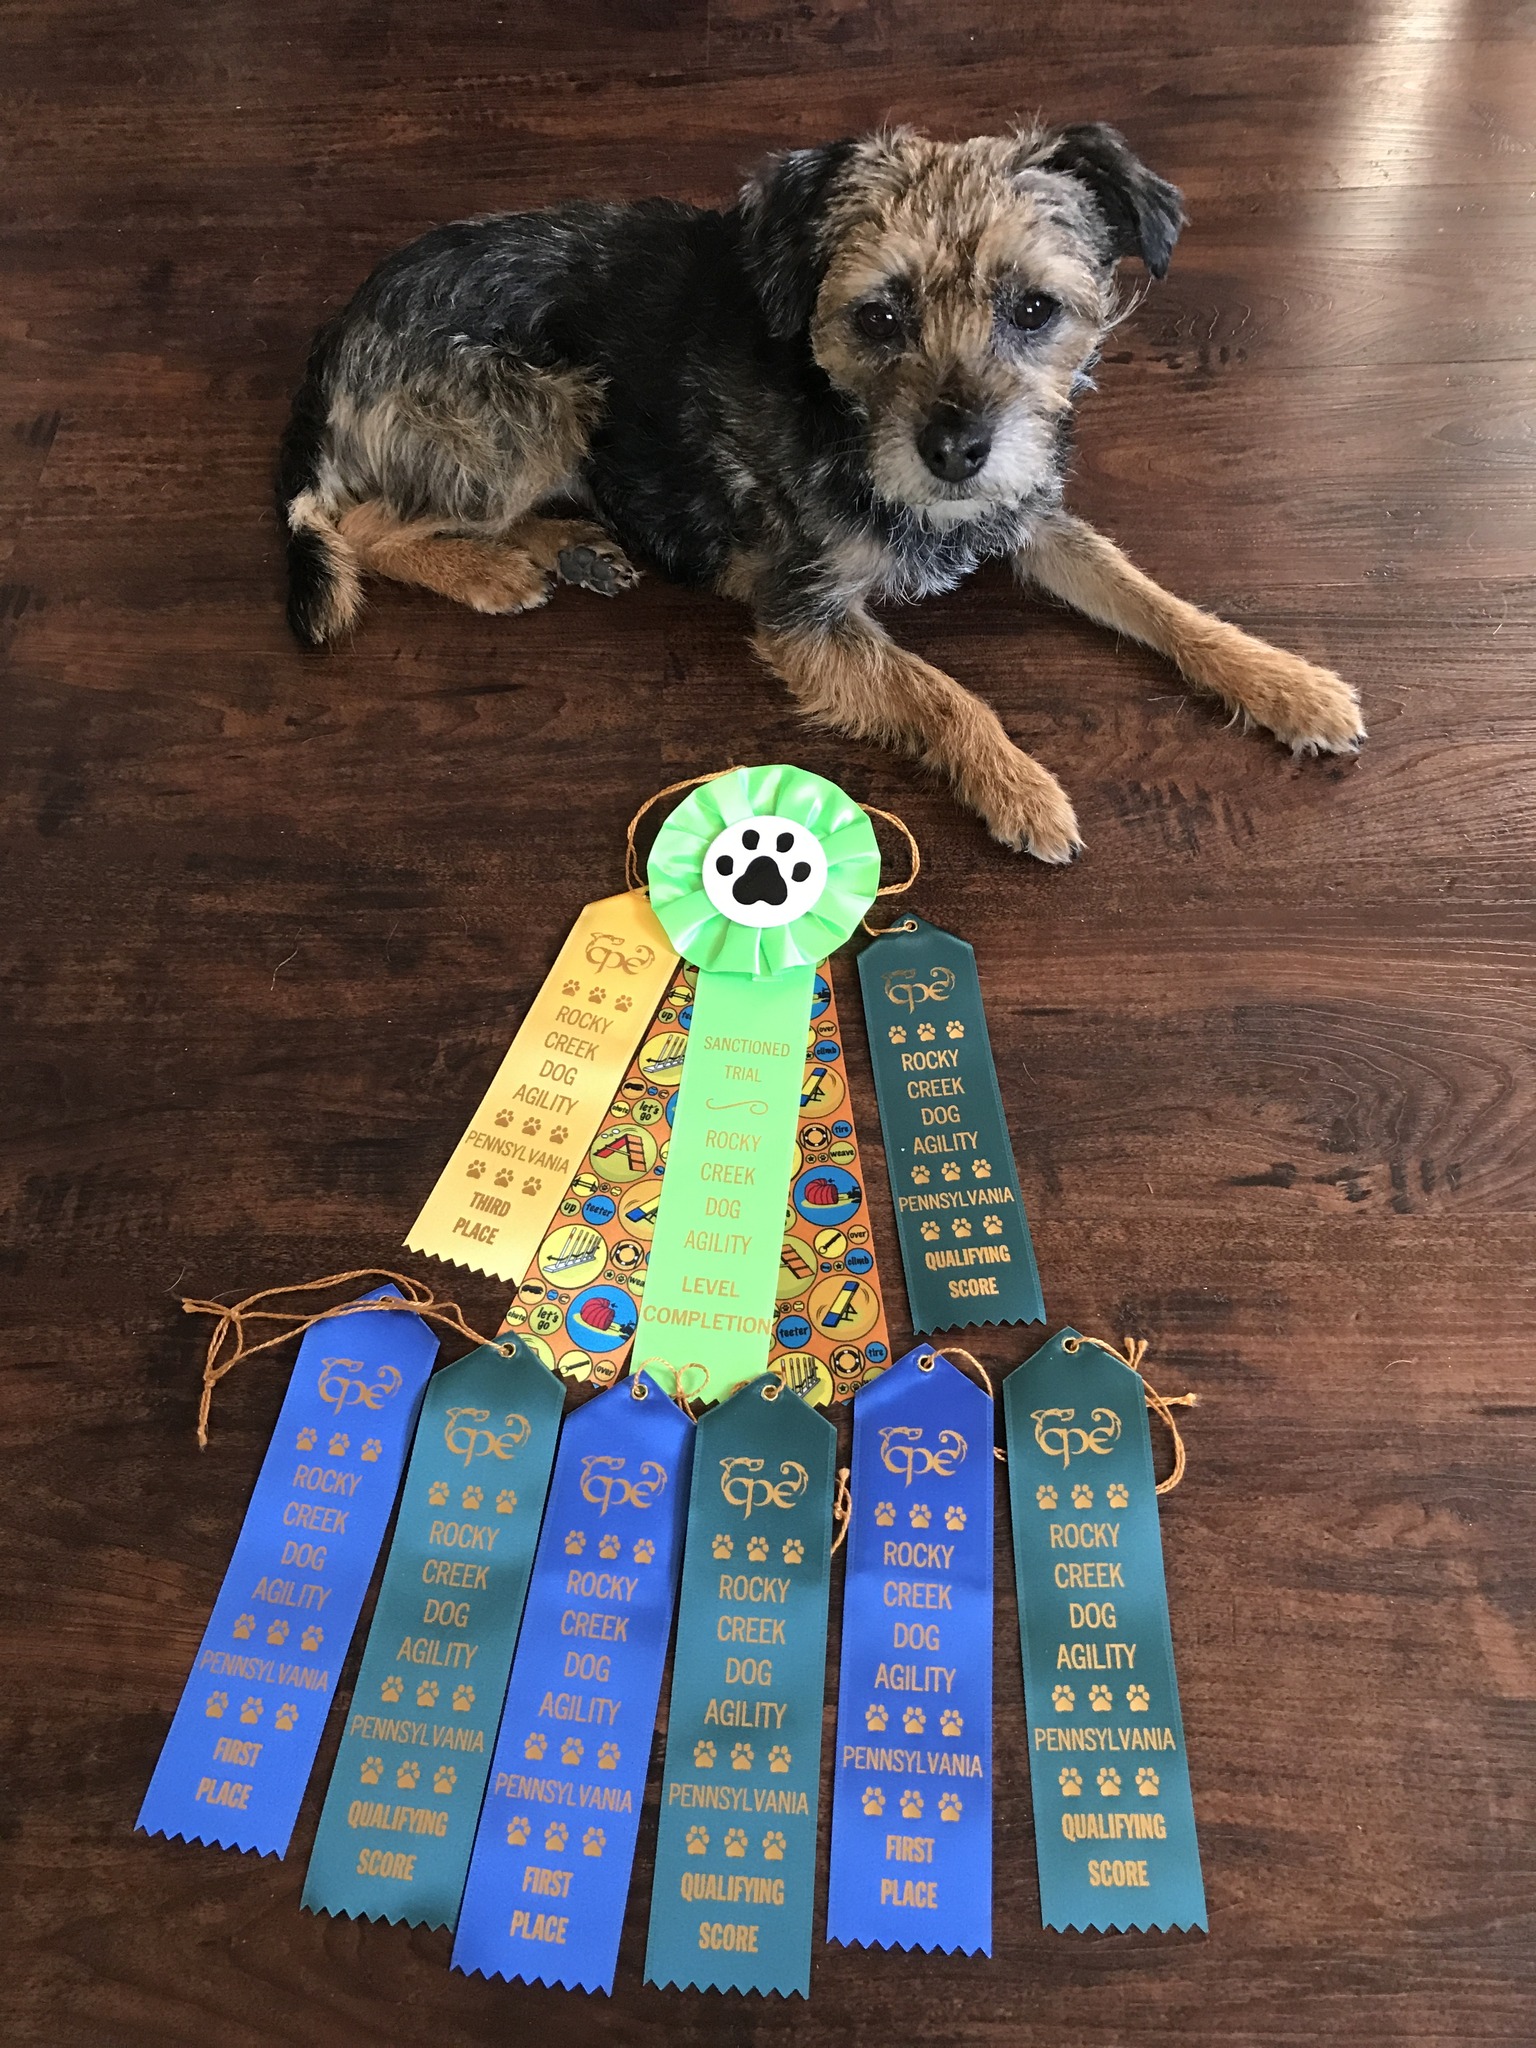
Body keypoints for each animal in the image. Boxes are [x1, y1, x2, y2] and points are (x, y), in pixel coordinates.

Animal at [279, 124, 1363, 860]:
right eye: (878, 316)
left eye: (1034, 309)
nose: (958, 451)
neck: (845, 420)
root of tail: (334, 339)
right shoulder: (806, 618)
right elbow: (943, 691)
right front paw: (1019, 786)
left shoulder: (1029, 515)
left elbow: (1156, 599)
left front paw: (1284, 681)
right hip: (539, 407)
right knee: (357, 518)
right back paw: (489, 569)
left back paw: (565, 548)